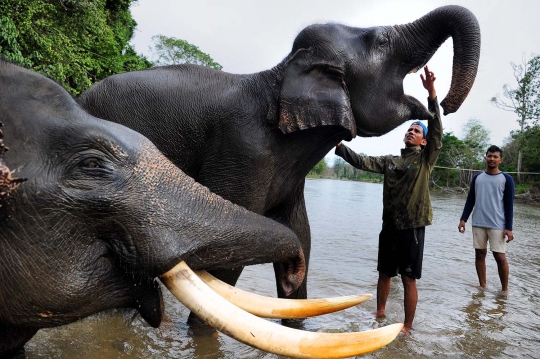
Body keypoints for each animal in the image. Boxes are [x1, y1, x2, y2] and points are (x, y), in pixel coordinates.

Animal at [78, 6, 478, 312]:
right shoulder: (242, 150)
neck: (281, 73)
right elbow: (230, 255)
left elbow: (301, 237)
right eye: (381, 41)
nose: (441, 103)